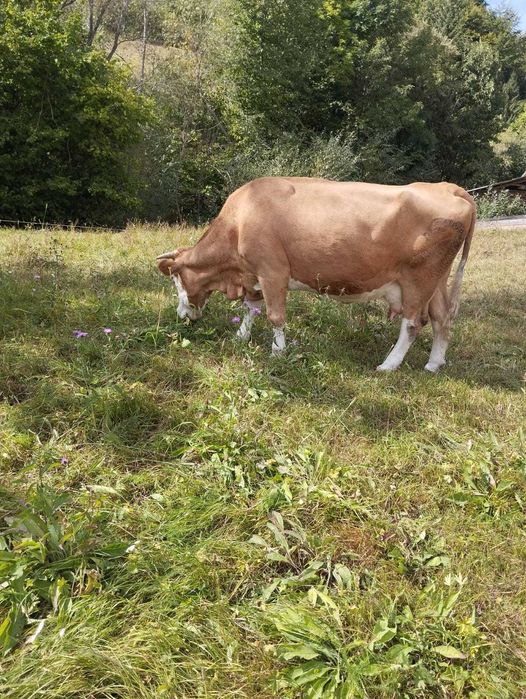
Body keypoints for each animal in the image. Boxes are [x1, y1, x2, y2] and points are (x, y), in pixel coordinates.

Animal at [157, 177, 476, 372]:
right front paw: (241, 336)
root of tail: (447, 187)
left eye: (176, 280)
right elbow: (251, 308)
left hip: (418, 280)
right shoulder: (253, 275)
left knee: (413, 323)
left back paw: (389, 365)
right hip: (437, 281)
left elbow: (274, 316)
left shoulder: (272, 271)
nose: (181, 315)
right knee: (441, 318)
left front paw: (277, 352)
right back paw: (434, 363)